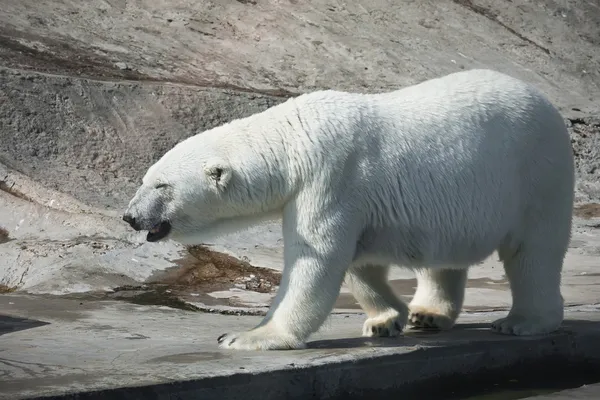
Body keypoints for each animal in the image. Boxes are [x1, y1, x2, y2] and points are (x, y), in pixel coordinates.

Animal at [123, 69, 576, 350]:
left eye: (161, 185)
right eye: (145, 178)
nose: (130, 216)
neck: (294, 139)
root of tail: (545, 102)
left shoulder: (331, 176)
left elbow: (317, 258)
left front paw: (249, 336)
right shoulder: (348, 195)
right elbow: (359, 259)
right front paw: (387, 318)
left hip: (537, 172)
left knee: (534, 251)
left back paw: (524, 321)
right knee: (445, 255)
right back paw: (428, 314)